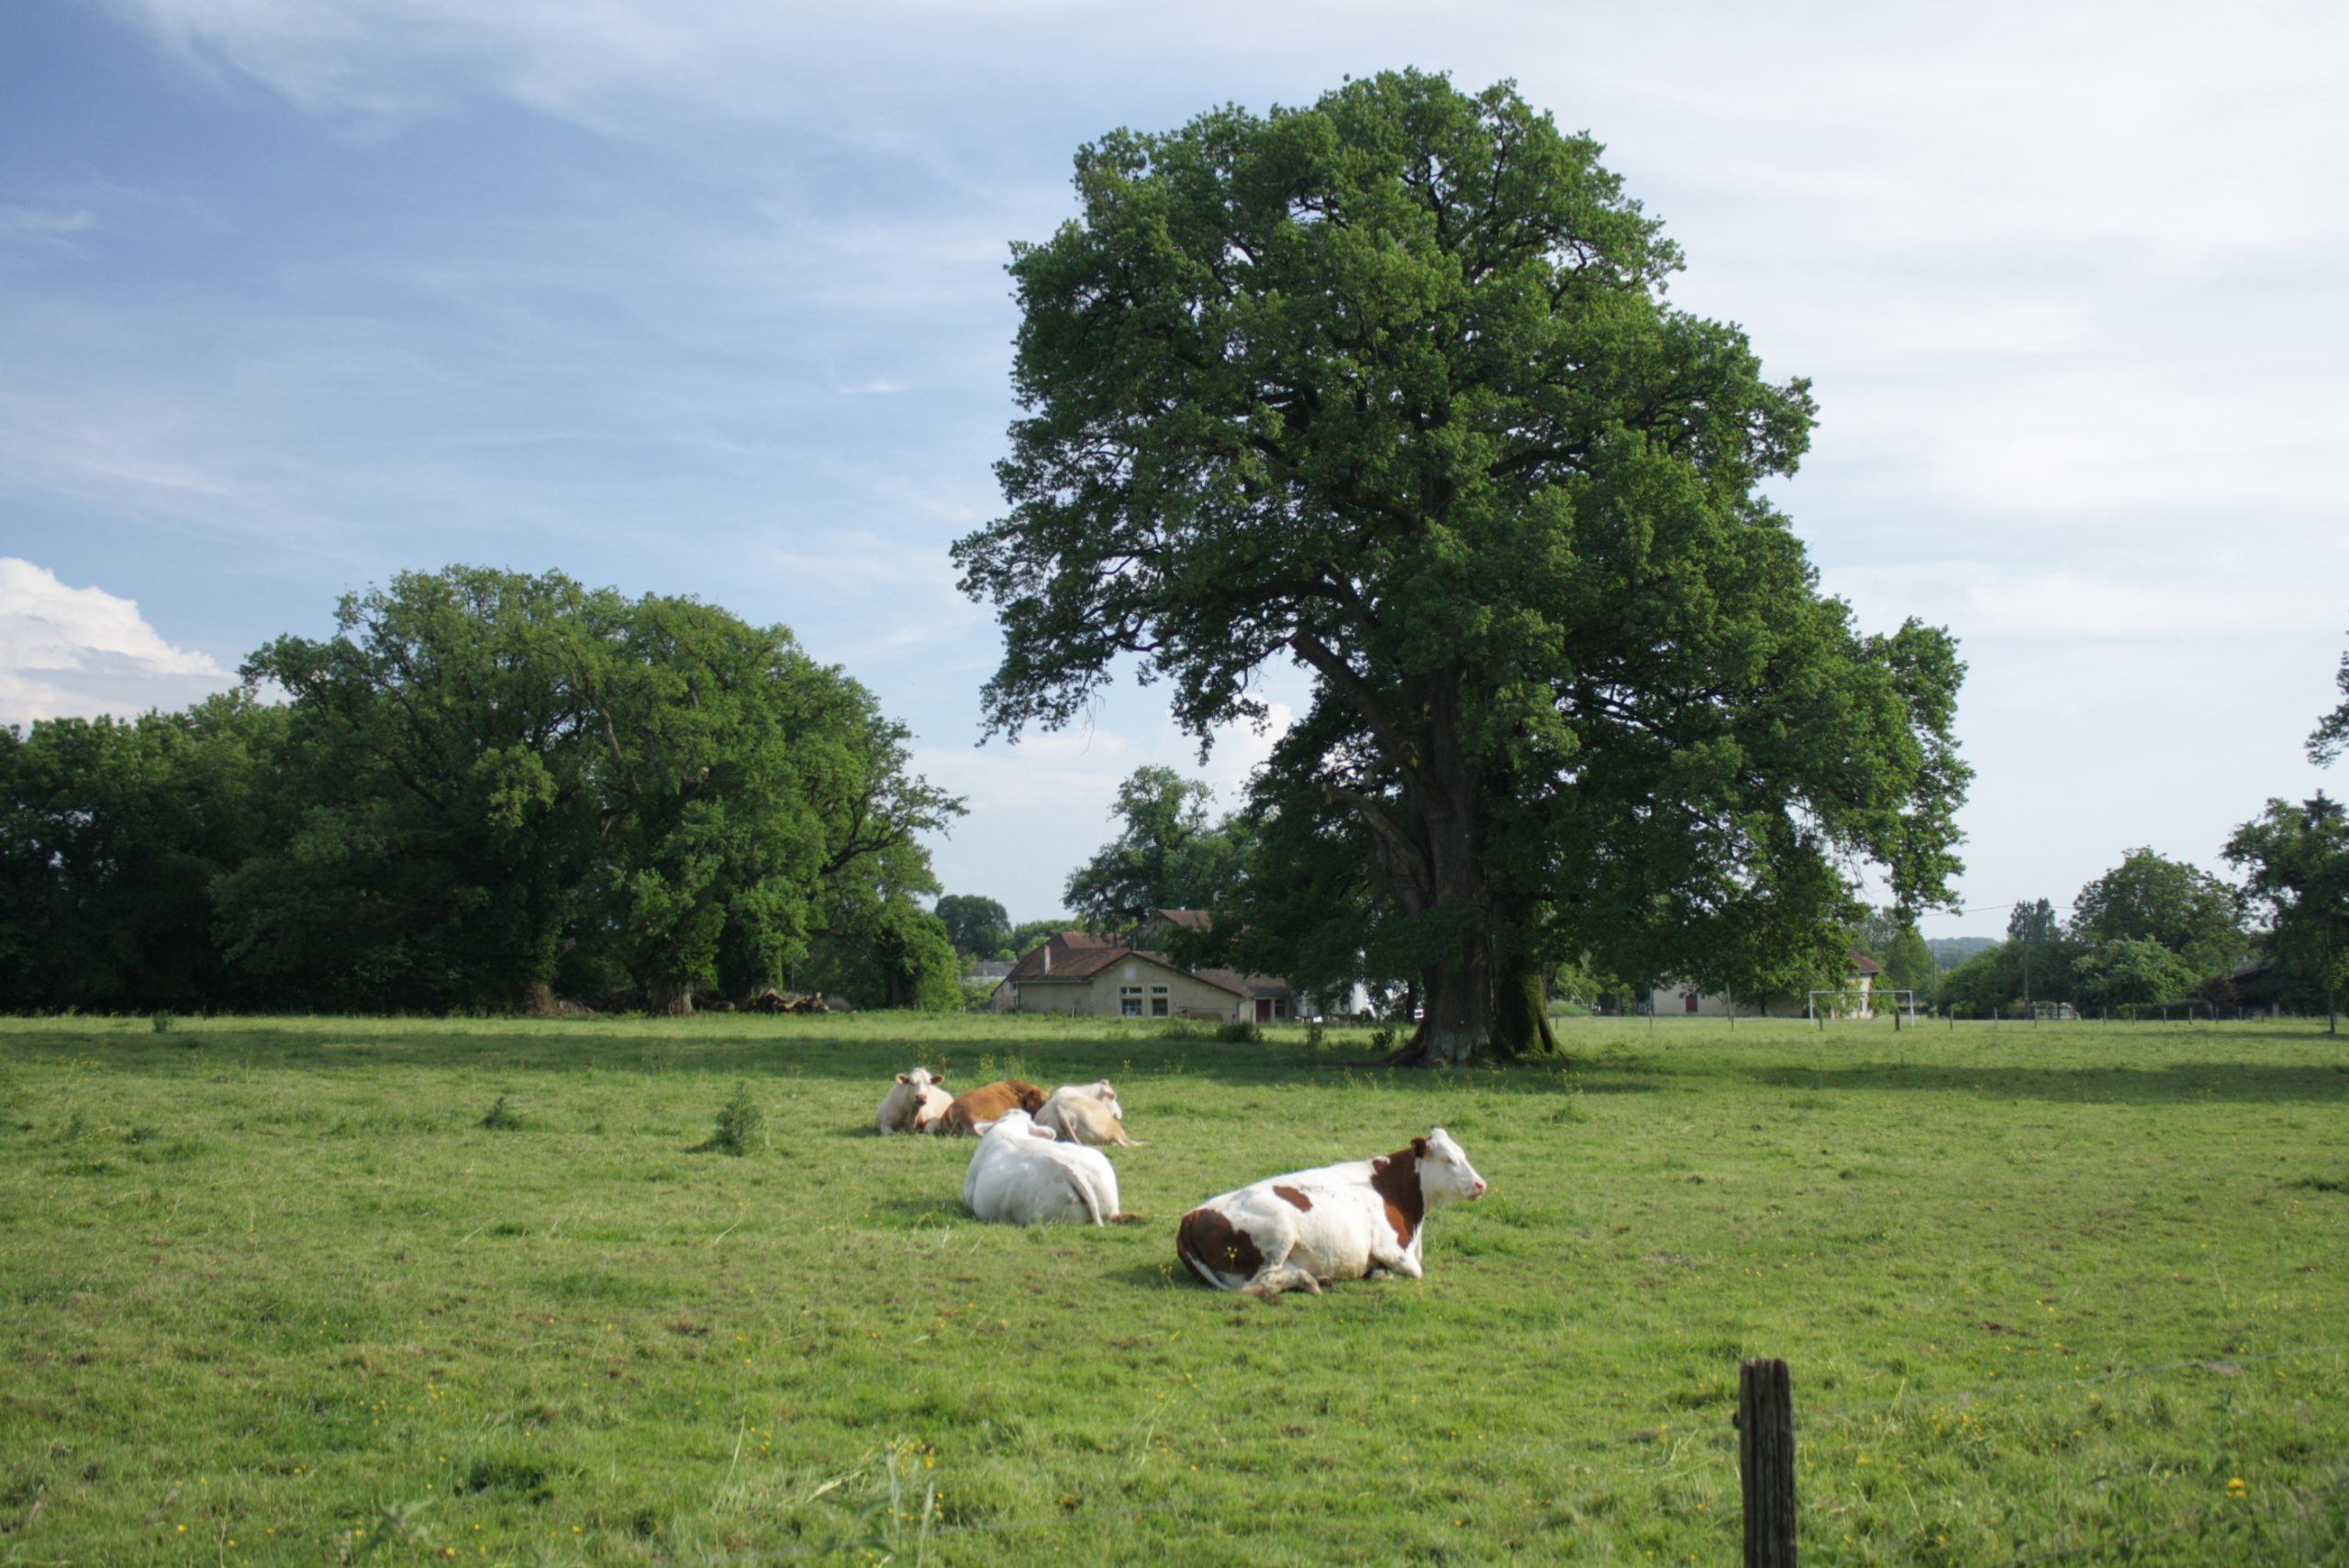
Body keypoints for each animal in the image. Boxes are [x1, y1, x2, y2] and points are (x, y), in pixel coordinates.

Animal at [1174, 1127, 1484, 1296]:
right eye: (1448, 1159)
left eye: (1464, 1154)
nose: (1481, 1184)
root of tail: (1190, 1218)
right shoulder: (1389, 1249)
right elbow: (1415, 1271)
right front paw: (1379, 1274)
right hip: (1278, 1234)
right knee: (1259, 1283)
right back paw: (1308, 1281)